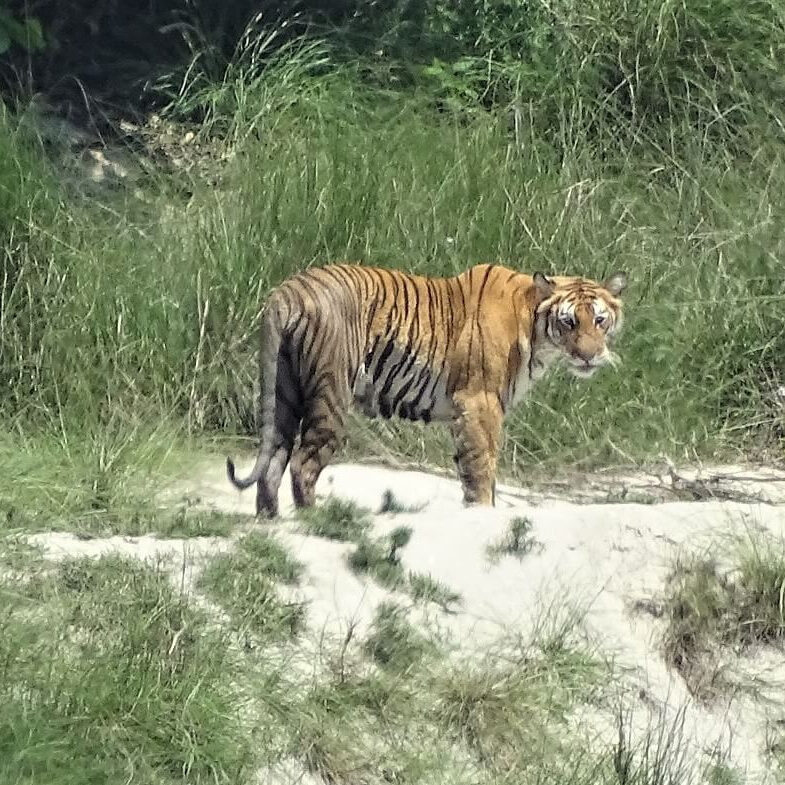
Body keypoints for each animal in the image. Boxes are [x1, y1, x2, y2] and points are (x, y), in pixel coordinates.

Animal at [227, 263, 627, 517]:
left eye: (600, 320)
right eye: (569, 322)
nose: (590, 356)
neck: (535, 327)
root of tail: (288, 290)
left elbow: (468, 468)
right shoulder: (480, 403)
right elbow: (483, 465)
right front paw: (484, 512)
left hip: (284, 391)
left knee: (273, 461)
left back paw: (270, 519)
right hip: (332, 394)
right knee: (302, 463)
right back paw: (313, 518)